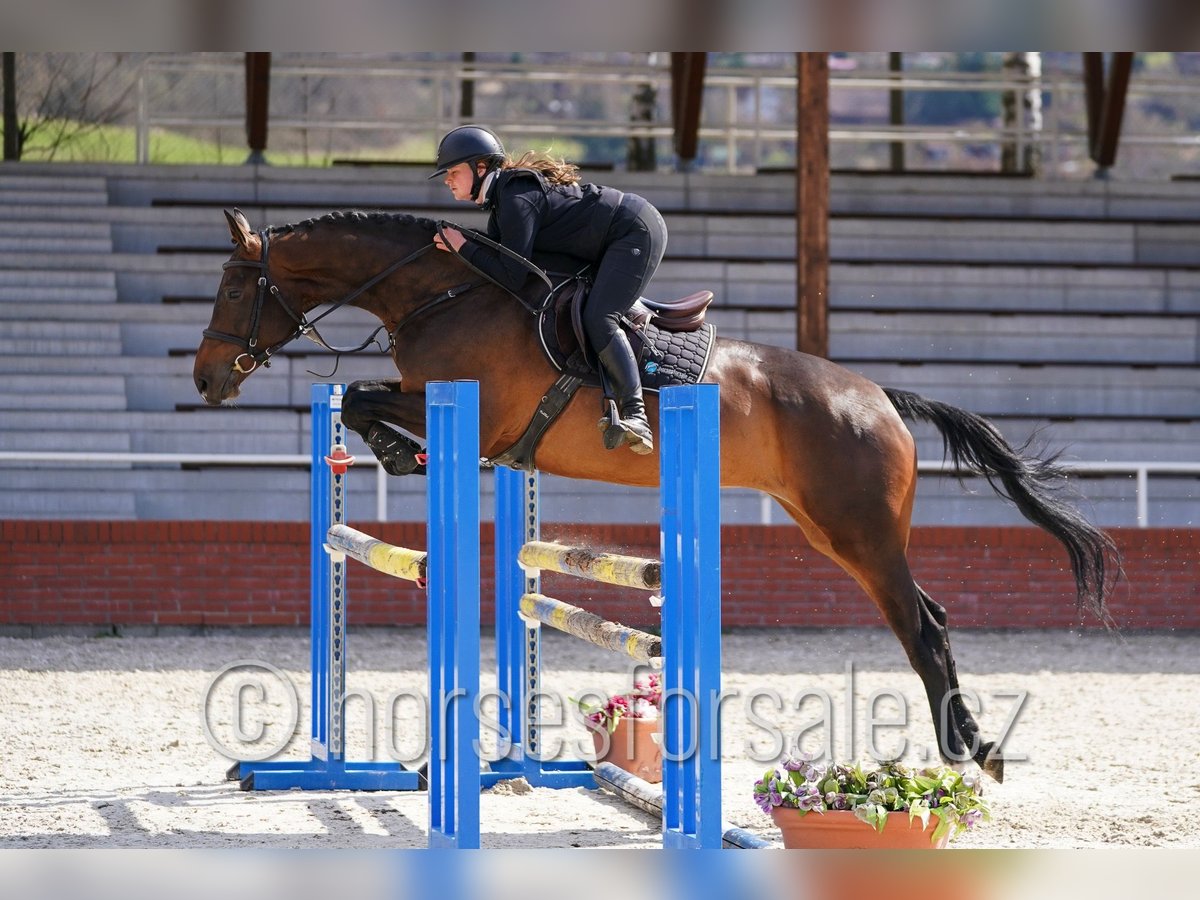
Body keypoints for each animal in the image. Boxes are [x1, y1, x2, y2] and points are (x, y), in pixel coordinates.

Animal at [193, 207, 1120, 783]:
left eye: (234, 288)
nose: (206, 380)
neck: (443, 289)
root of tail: (881, 398)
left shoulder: (472, 417)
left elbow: (364, 398)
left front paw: (395, 448)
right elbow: (359, 397)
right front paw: (392, 449)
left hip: (860, 534)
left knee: (923, 628)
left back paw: (971, 753)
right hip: (828, 529)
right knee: (932, 617)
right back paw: (975, 745)